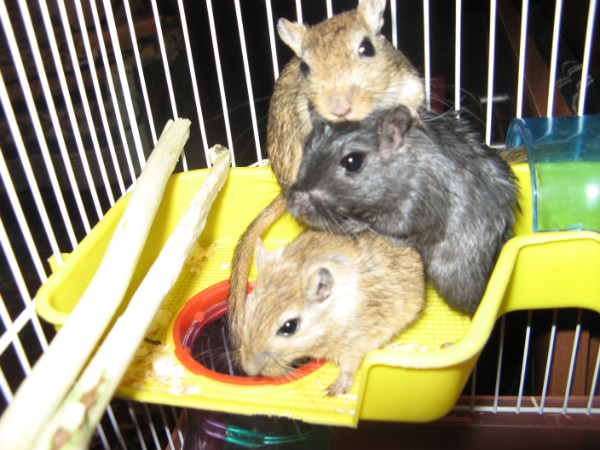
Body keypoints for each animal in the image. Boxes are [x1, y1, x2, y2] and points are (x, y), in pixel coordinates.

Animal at [236, 230, 425, 396]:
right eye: (248, 306)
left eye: (289, 327)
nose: (249, 370)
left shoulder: (357, 341)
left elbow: (349, 367)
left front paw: (333, 391)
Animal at [286, 106, 519, 316]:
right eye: (307, 145)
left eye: (352, 161)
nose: (292, 206)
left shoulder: (415, 205)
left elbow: (385, 226)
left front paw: (352, 225)